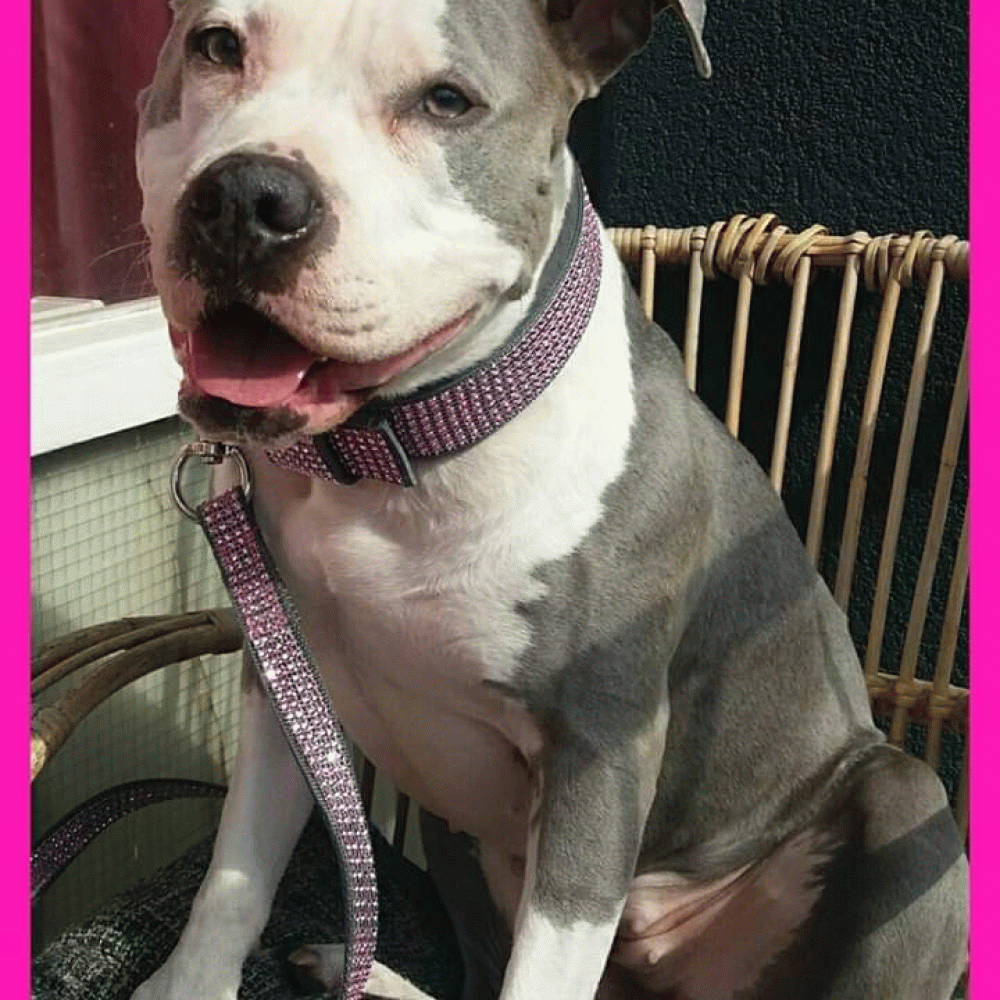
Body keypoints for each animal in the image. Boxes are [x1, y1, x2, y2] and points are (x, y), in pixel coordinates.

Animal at [132, 2, 968, 998]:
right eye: (218, 45)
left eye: (447, 100)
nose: (248, 197)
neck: (402, 452)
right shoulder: (284, 685)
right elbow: (232, 878)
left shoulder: (598, 750)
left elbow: (542, 968)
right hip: (457, 835)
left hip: (905, 806)